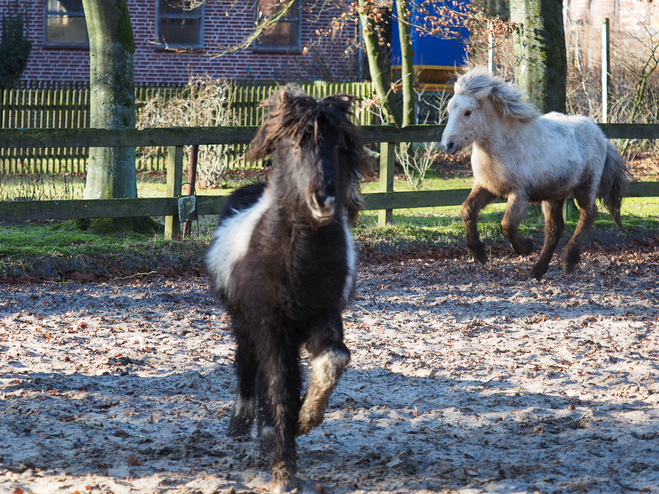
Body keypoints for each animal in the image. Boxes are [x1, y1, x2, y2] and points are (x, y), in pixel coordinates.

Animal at [206, 89, 366, 494]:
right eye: (296, 145)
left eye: (338, 144)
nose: (324, 199)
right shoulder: (270, 324)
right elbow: (279, 387)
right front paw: (283, 471)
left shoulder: (324, 315)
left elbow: (333, 360)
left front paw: (305, 419)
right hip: (245, 323)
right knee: (248, 365)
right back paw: (242, 425)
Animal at [440, 67, 632, 280]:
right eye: (449, 110)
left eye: (468, 112)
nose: (447, 145)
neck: (502, 146)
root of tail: (602, 137)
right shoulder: (486, 187)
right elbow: (467, 210)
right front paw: (479, 254)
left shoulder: (519, 193)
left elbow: (507, 224)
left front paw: (526, 247)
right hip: (555, 195)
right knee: (555, 229)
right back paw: (538, 270)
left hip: (585, 187)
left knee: (589, 214)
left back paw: (568, 261)